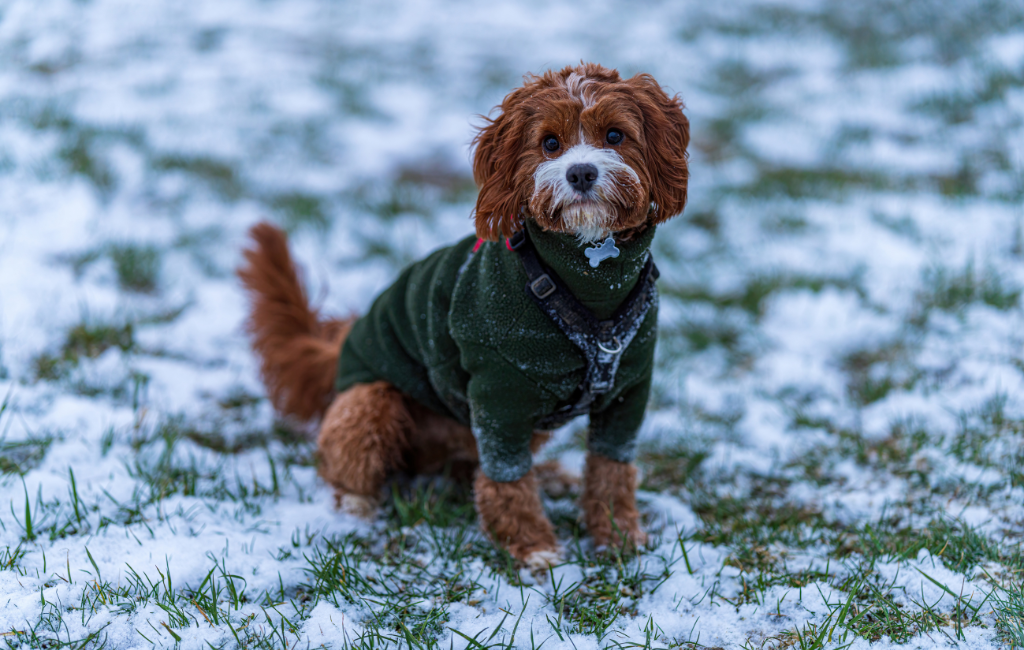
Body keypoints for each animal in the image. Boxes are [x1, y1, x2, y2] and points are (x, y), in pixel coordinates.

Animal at [238, 60, 688, 569]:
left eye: (615, 135)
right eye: (550, 143)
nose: (580, 173)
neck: (588, 278)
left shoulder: (628, 388)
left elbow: (612, 467)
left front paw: (619, 534)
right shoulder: (499, 389)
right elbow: (507, 477)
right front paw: (532, 545)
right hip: (368, 400)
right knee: (346, 465)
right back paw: (356, 506)